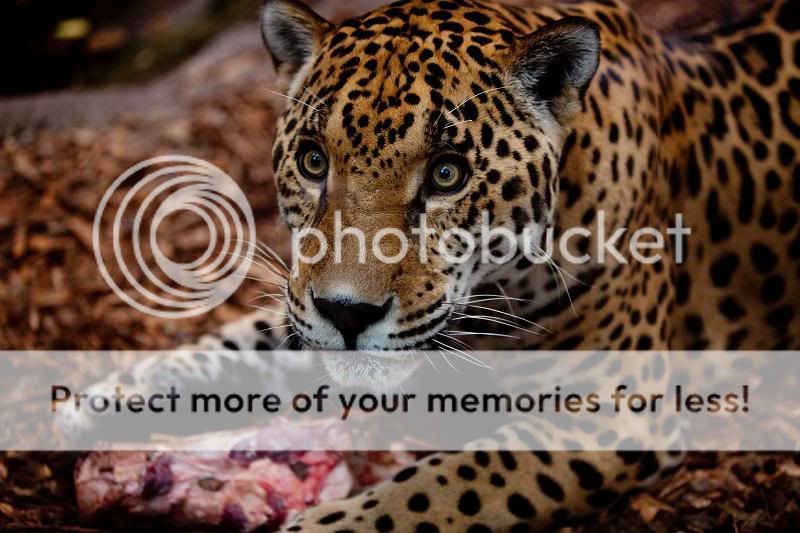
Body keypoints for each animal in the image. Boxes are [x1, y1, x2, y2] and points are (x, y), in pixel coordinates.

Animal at [57, 0, 800, 530]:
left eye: (447, 174)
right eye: (313, 161)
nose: (348, 313)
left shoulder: (615, 408)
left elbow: (438, 487)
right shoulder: (304, 307)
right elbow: (226, 345)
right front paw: (95, 402)